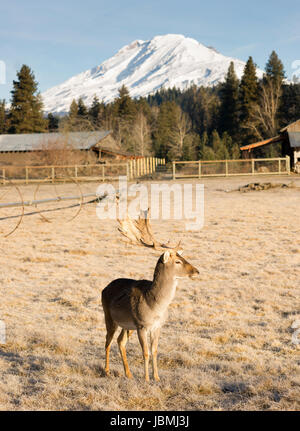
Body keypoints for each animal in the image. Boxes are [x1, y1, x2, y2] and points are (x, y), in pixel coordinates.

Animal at [101, 208, 199, 382]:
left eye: (182, 257)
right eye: (178, 261)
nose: (197, 271)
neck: (155, 306)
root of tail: (104, 288)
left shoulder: (157, 326)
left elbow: (154, 351)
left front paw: (157, 377)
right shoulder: (141, 325)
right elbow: (145, 352)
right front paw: (147, 379)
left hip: (127, 325)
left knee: (120, 341)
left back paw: (128, 373)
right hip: (109, 316)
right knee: (107, 341)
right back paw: (106, 371)